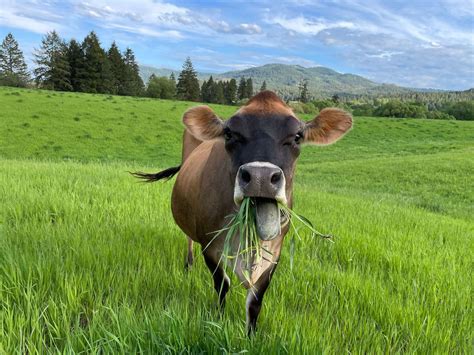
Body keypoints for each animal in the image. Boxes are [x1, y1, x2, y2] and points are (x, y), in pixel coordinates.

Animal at [133, 90, 352, 336]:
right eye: (229, 133)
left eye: (297, 136)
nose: (260, 177)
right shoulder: (210, 245)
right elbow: (222, 285)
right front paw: (218, 320)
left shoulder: (275, 251)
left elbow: (255, 300)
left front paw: (251, 336)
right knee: (189, 238)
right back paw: (188, 264)